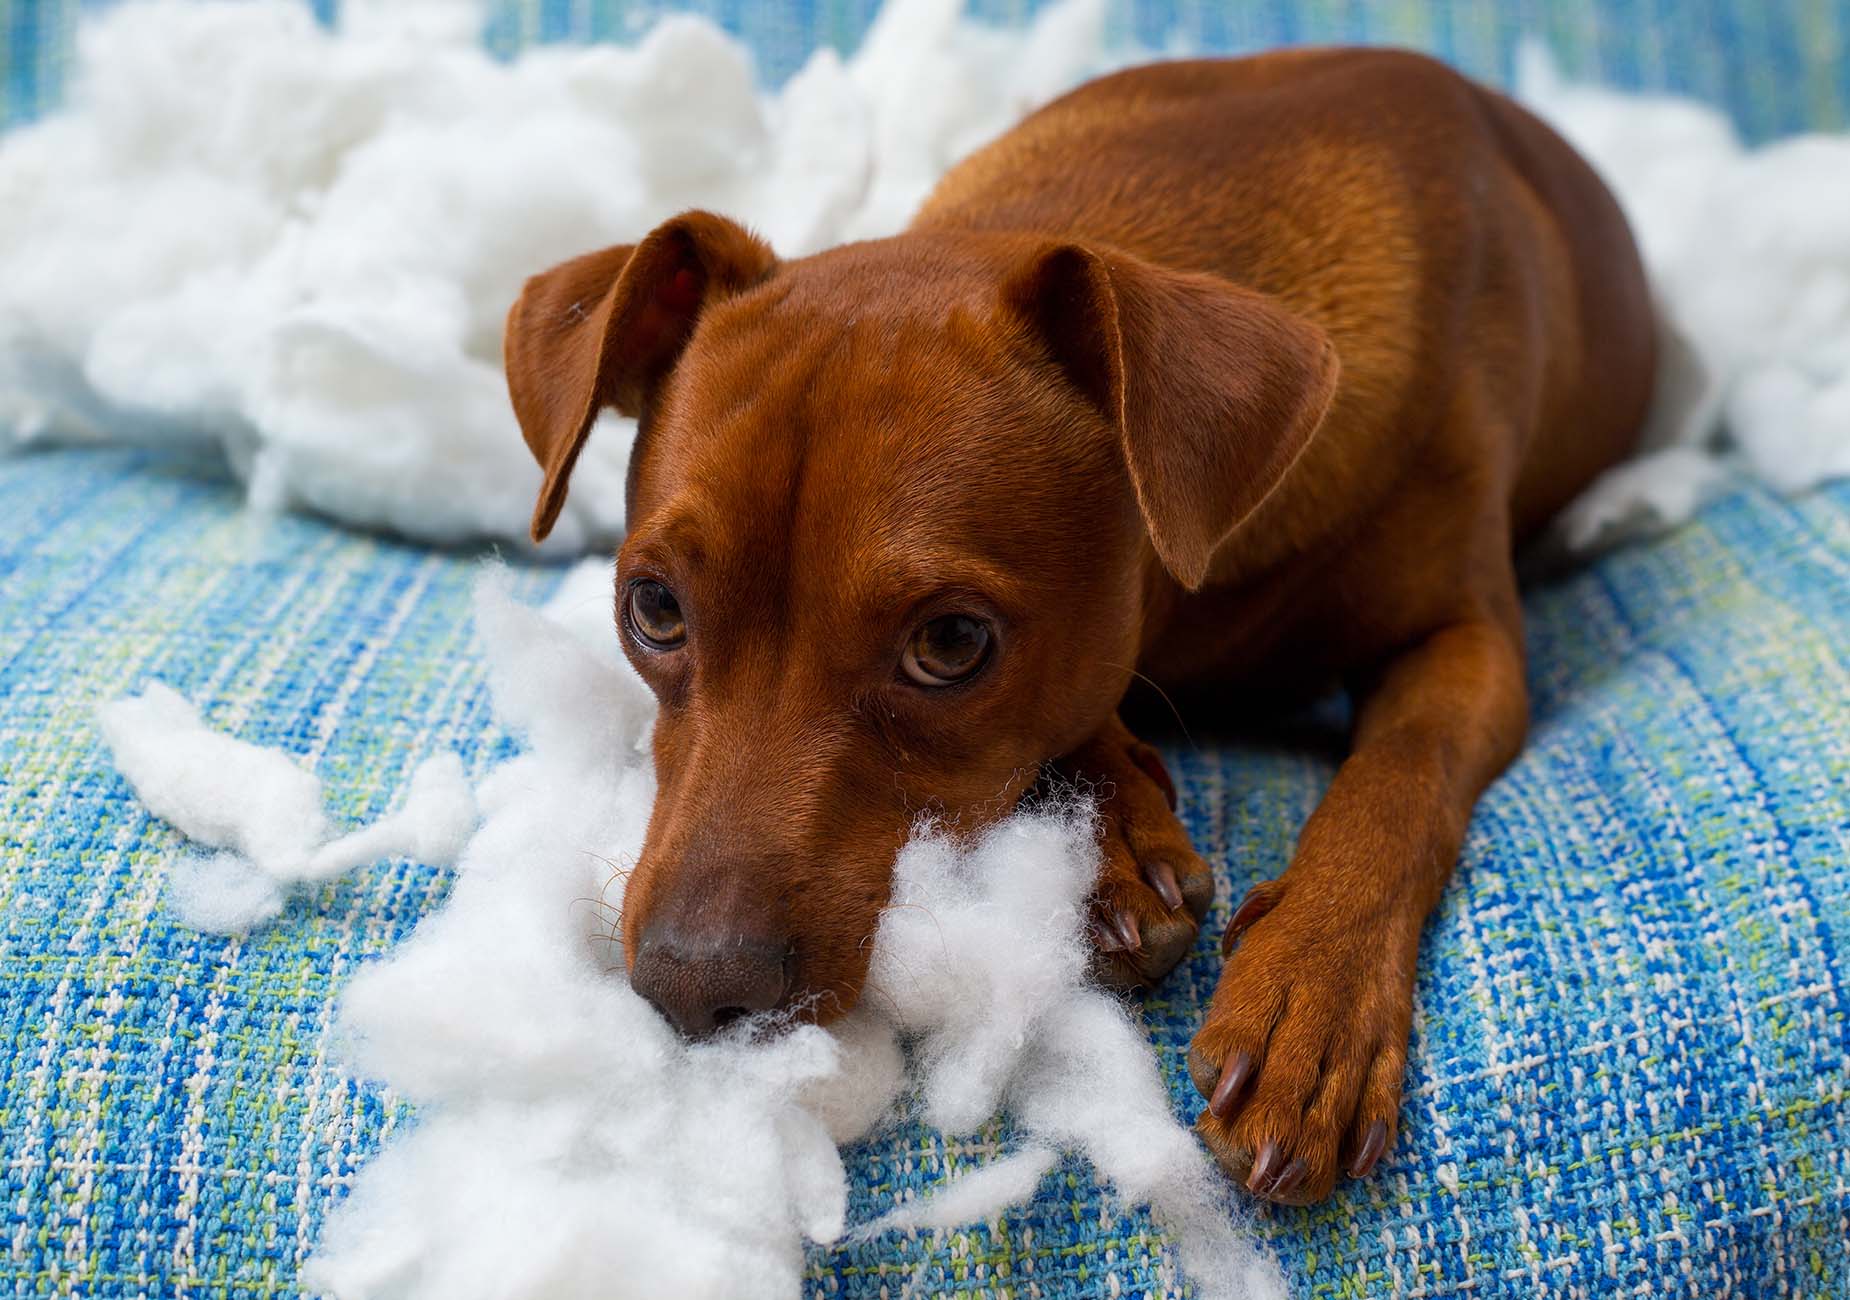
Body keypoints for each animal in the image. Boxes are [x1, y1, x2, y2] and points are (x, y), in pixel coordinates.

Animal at [499, 50, 1657, 1213]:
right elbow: (1081, 714)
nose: (692, 987)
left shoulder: (1469, 646)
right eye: (653, 610)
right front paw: (1112, 846)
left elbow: (1396, 778)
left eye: (951, 645)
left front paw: (1312, 996)